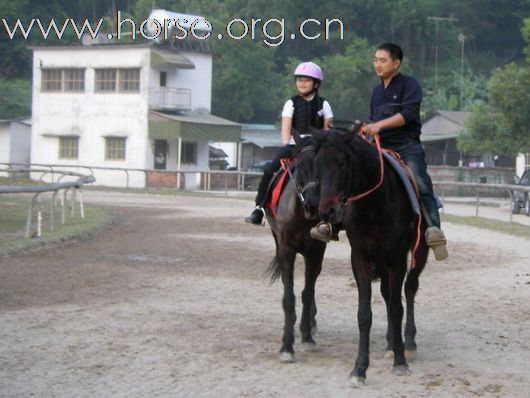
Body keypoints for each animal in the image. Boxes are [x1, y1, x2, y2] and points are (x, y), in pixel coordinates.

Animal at [264, 132, 326, 362]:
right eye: (299, 165)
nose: (313, 205)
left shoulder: (316, 252)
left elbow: (307, 293)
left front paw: (307, 336)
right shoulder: (286, 249)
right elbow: (289, 297)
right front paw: (286, 346)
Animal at [312, 128, 426, 386]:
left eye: (341, 162)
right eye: (317, 164)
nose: (327, 211)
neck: (376, 204)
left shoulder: (396, 259)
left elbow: (397, 308)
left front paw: (400, 363)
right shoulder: (361, 258)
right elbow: (365, 314)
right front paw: (360, 368)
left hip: (418, 253)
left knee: (410, 289)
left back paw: (409, 343)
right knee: (387, 293)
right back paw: (391, 344)